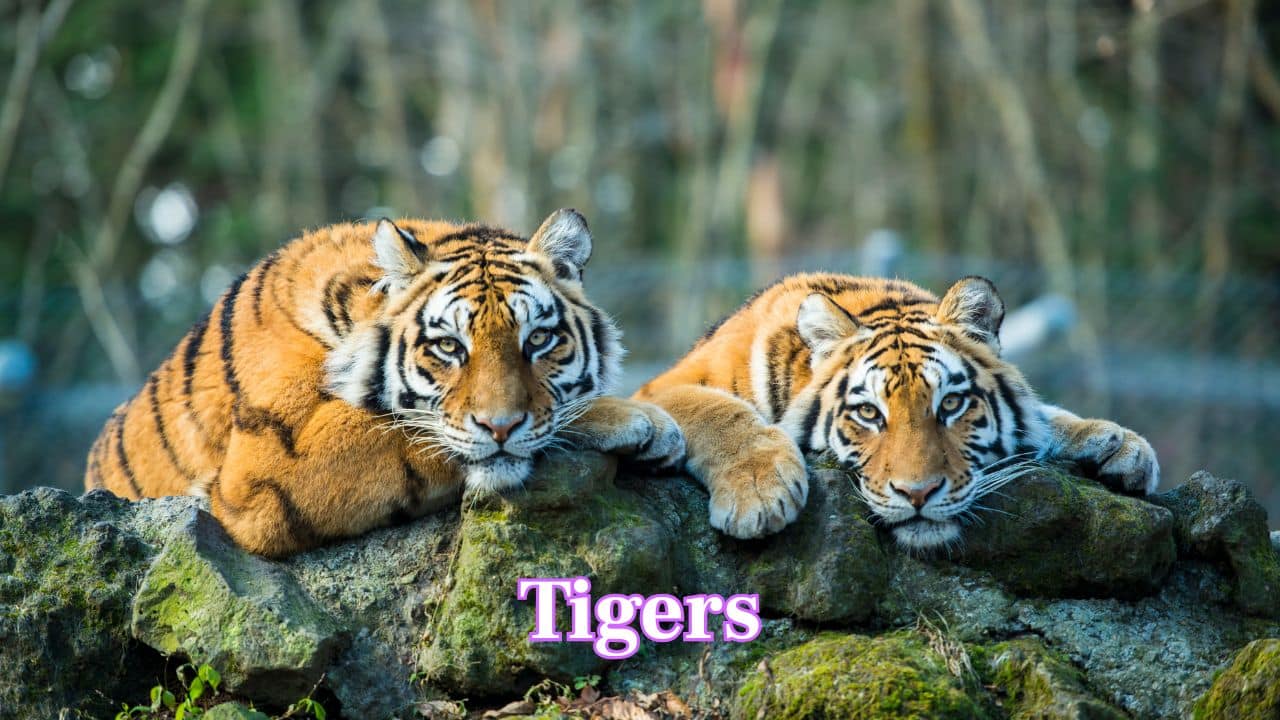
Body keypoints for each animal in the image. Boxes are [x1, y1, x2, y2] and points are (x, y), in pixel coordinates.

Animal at [85, 209, 685, 557]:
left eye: (538, 339)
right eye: (449, 347)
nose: (501, 427)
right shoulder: (264, 469)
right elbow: (408, 430)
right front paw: (639, 419)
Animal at [635, 273, 1159, 550]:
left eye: (951, 404)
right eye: (868, 414)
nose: (918, 494)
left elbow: (1044, 415)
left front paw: (1120, 444)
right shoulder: (659, 389)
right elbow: (719, 410)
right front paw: (758, 494)